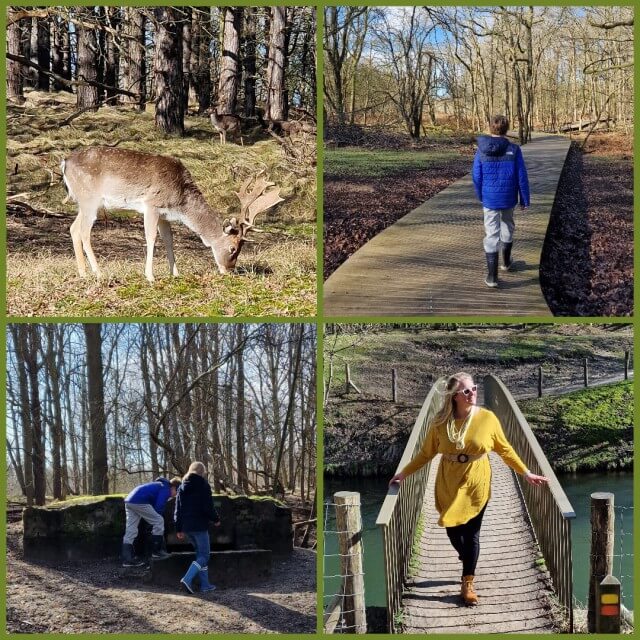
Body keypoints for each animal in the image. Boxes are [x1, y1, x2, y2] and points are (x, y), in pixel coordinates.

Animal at [62, 149, 282, 282]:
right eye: (233, 248)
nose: (229, 270)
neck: (179, 200)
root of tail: (64, 162)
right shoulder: (152, 204)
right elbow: (151, 238)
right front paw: (150, 276)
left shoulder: (164, 214)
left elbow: (169, 240)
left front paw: (175, 273)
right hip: (90, 199)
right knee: (84, 231)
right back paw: (98, 273)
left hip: (84, 202)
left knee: (73, 228)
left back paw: (82, 273)